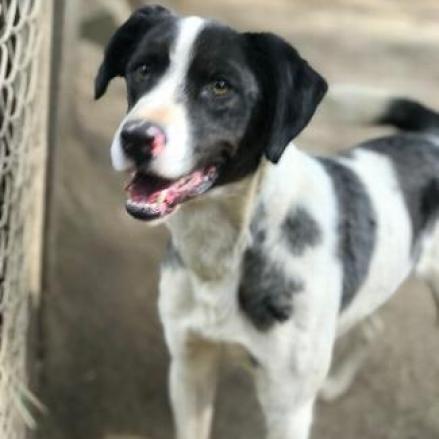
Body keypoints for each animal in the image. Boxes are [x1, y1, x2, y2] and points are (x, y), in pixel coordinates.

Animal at [93, 5, 439, 438]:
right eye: (143, 68)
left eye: (220, 86)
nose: (137, 138)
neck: (226, 249)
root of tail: (429, 135)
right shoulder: (189, 367)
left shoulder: (287, 407)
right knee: (372, 326)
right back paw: (336, 384)